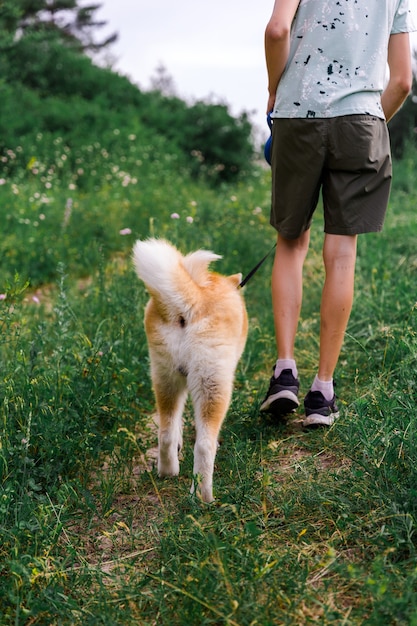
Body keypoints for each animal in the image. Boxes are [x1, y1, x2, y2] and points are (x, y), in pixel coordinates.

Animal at [132, 236, 247, 500]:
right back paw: (203, 497)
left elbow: (175, 427)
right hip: (212, 385)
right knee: (204, 446)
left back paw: (167, 471)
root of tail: (190, 304)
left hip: (165, 378)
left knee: (164, 434)